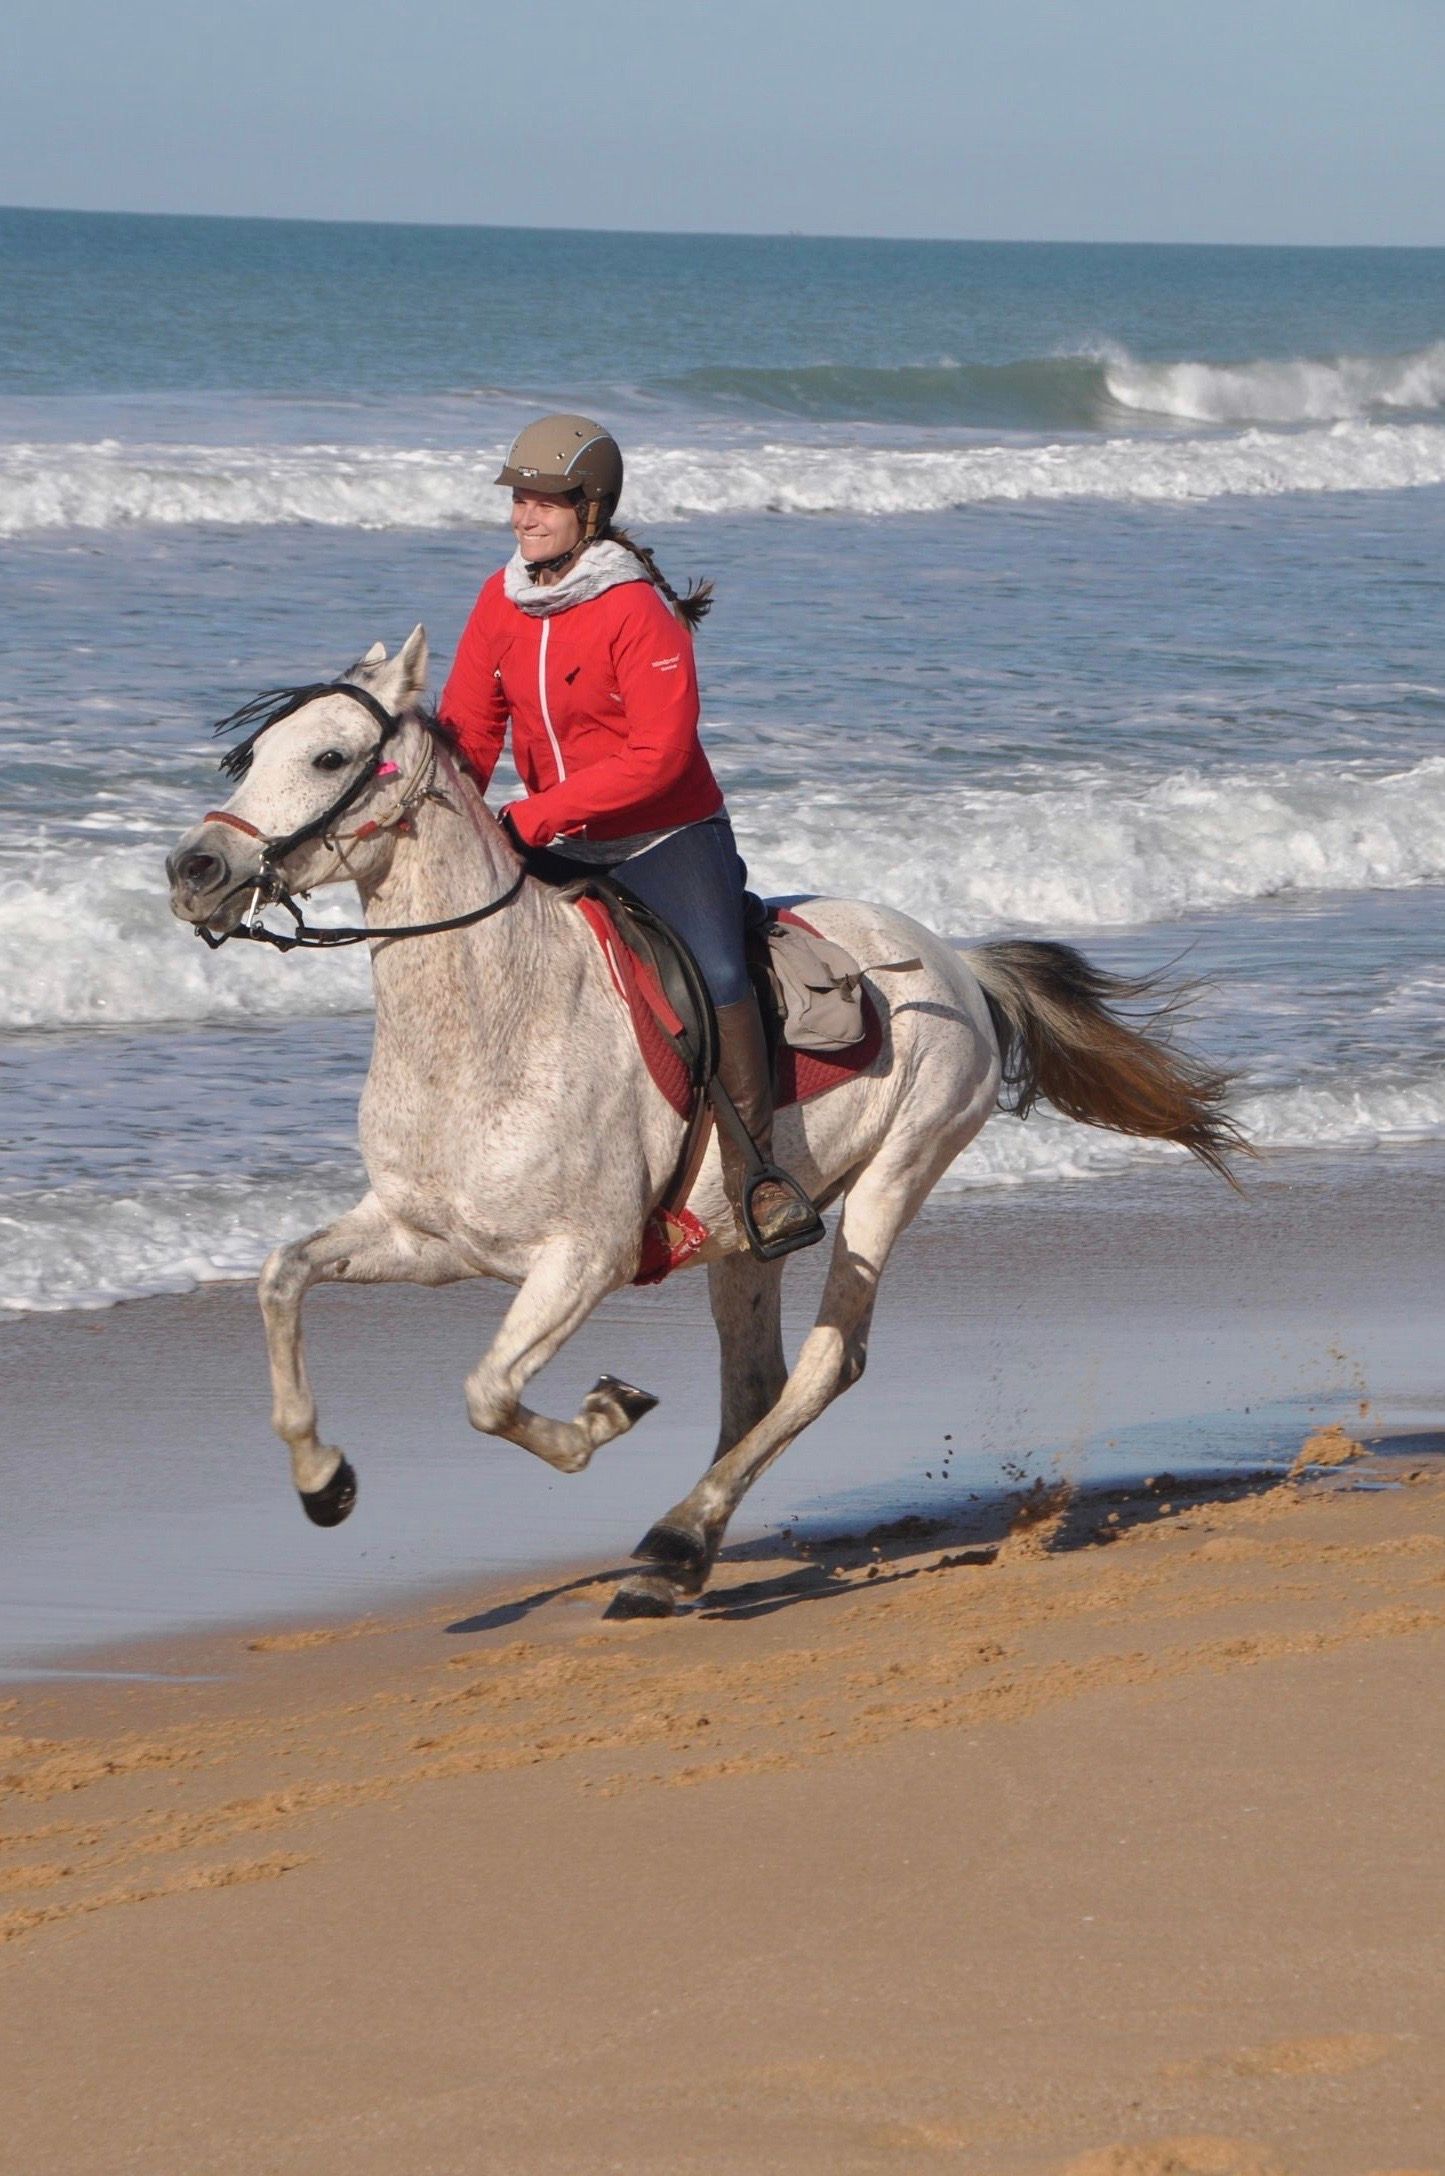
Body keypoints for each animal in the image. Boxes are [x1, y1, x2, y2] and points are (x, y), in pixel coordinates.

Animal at [166, 628, 1242, 1618]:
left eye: (328, 756)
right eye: (252, 755)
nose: (194, 868)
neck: (490, 1019)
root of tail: (957, 963)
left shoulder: (582, 1258)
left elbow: (489, 1393)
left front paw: (604, 1413)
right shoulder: (425, 1237)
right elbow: (282, 1277)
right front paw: (323, 1480)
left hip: (896, 1174)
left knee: (826, 1363)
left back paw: (675, 1539)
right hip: (743, 1233)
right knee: (757, 1379)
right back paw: (681, 1550)